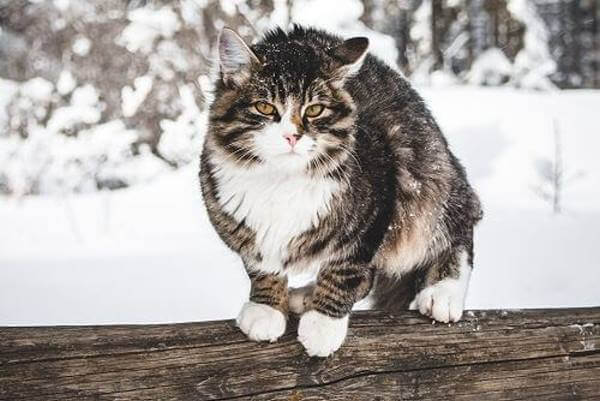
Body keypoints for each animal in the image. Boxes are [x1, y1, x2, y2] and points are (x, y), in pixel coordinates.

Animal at [200, 25, 482, 356]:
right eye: (264, 107)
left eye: (315, 110)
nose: (292, 136)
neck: (281, 179)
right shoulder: (240, 224)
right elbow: (261, 266)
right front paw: (266, 307)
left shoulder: (376, 209)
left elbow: (345, 272)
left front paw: (323, 325)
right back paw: (304, 294)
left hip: (430, 183)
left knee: (457, 229)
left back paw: (443, 292)